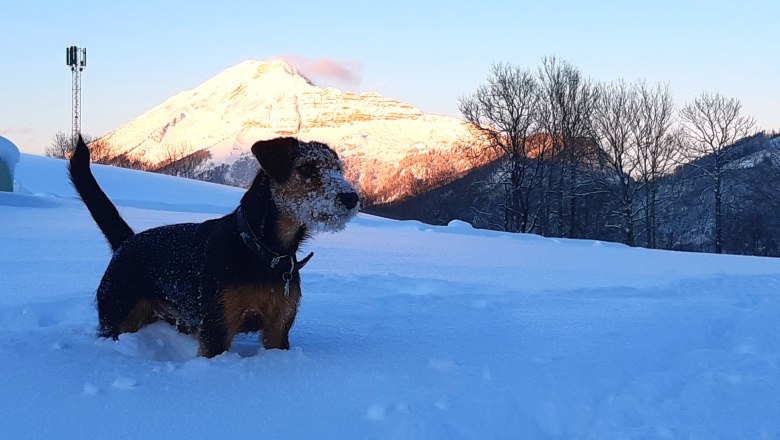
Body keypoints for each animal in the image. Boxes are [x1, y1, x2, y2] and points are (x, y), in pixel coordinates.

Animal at [68, 137, 362, 358]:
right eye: (307, 169)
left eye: (338, 170)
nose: (351, 197)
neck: (262, 250)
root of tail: (126, 242)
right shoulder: (217, 327)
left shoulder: (278, 329)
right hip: (115, 314)